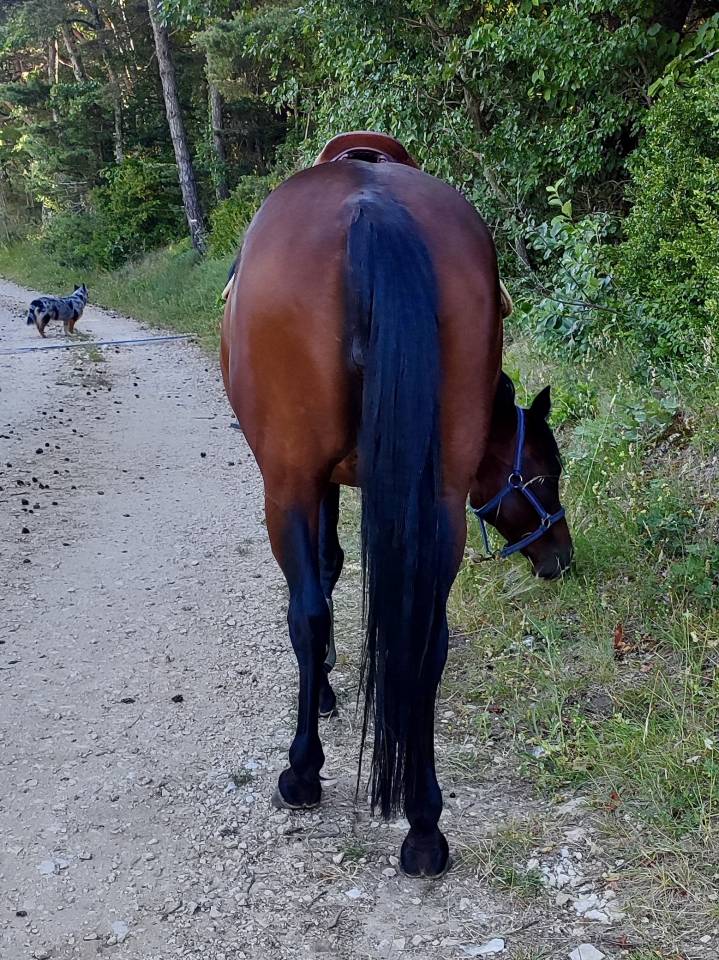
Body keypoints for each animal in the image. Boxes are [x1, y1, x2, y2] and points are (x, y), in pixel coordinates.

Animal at [220, 132, 573, 877]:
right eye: (544, 474)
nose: (561, 557)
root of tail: (372, 208)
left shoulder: (313, 482)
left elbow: (323, 577)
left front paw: (323, 694)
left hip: (288, 481)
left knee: (308, 612)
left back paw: (303, 773)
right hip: (436, 499)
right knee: (426, 637)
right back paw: (424, 825)